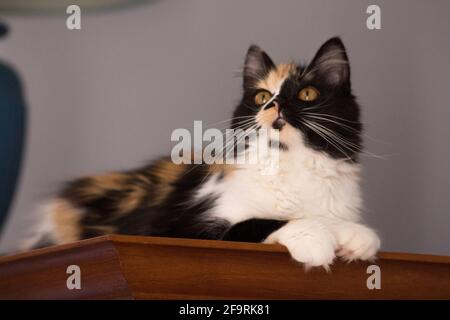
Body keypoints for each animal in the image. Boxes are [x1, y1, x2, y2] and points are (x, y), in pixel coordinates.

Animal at [27, 36, 380, 268]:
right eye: (261, 96)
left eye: (307, 93)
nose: (274, 104)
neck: (290, 166)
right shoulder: (185, 229)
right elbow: (261, 222)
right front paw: (313, 239)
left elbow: (328, 219)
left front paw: (357, 237)